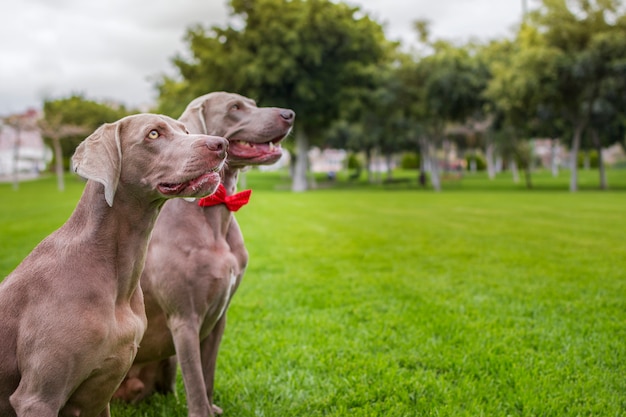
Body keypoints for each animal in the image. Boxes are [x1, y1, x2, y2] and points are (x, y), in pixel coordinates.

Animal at [113, 92, 294, 414]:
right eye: (235, 108)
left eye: (252, 103)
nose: (290, 114)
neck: (215, 214)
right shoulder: (185, 319)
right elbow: (196, 381)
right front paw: (203, 411)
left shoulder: (219, 317)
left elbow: (207, 375)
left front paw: (214, 408)